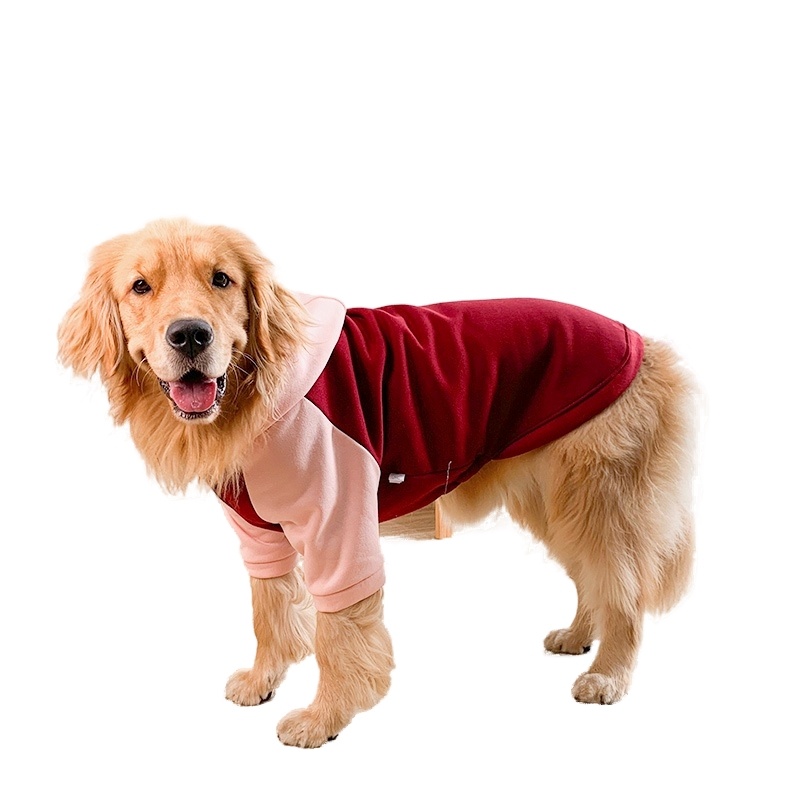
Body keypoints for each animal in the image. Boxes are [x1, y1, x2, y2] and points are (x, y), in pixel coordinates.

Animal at [58, 218, 696, 748]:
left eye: (221, 279)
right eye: (141, 287)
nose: (189, 336)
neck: (256, 392)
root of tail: (644, 342)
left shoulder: (339, 524)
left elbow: (338, 635)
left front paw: (324, 718)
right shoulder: (260, 534)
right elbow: (269, 612)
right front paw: (265, 680)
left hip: (597, 499)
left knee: (624, 592)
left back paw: (607, 674)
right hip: (557, 503)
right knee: (594, 580)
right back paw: (578, 637)